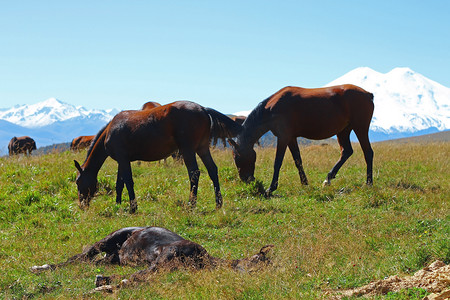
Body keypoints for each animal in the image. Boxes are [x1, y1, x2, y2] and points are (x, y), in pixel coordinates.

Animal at [29, 226, 272, 288]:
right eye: (258, 261)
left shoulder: (165, 267)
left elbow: (138, 276)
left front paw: (103, 283)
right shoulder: (163, 258)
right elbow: (139, 275)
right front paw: (103, 284)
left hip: (111, 257)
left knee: (91, 261)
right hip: (107, 240)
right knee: (79, 257)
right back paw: (40, 267)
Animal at [74, 101, 243, 213]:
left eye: (78, 182)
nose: (82, 205)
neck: (111, 130)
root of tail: (203, 109)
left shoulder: (123, 159)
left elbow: (128, 181)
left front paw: (133, 207)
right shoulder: (122, 161)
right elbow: (119, 184)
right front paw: (118, 204)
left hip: (188, 150)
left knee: (194, 173)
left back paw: (191, 204)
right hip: (202, 148)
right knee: (212, 170)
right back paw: (218, 203)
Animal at [230, 85, 374, 197]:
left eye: (237, 157)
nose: (246, 180)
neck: (272, 108)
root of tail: (368, 94)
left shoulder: (283, 137)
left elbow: (277, 162)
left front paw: (271, 188)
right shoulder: (291, 138)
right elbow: (298, 160)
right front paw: (305, 183)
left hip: (360, 128)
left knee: (368, 153)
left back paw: (369, 183)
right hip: (343, 131)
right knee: (346, 152)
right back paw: (328, 179)